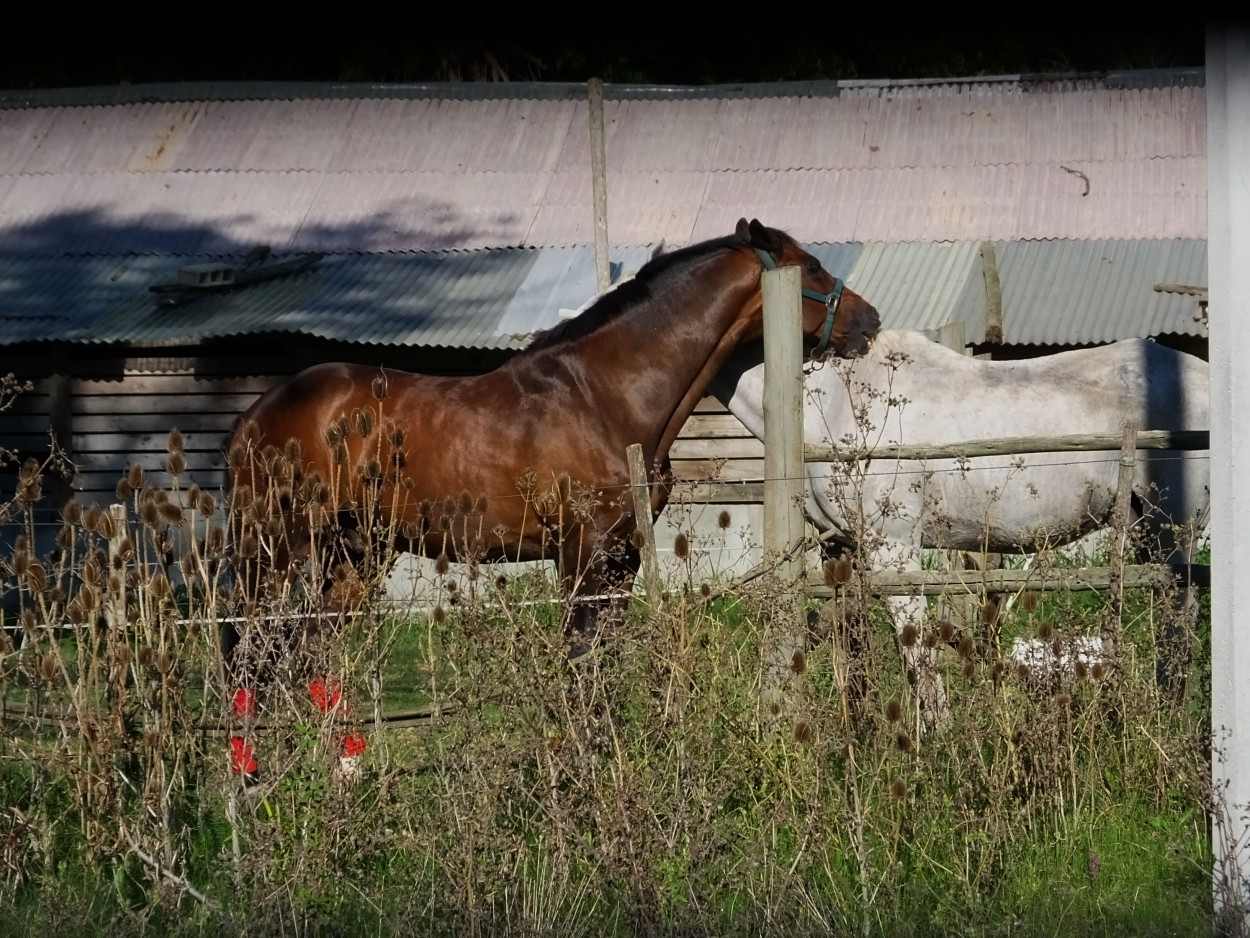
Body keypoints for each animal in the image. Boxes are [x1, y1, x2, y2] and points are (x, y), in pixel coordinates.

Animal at [220, 220, 880, 780]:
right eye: (812, 266)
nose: (869, 321)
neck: (602, 395)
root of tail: (256, 417)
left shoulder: (621, 558)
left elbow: (600, 661)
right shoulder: (581, 554)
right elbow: (579, 659)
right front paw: (581, 770)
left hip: (356, 555)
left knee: (314, 653)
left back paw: (340, 774)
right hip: (276, 554)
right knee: (251, 655)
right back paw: (250, 784)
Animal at [715, 330, 1210, 725]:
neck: (830, 395)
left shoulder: (893, 548)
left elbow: (917, 651)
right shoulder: (840, 547)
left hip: (1172, 536)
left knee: (1178, 630)